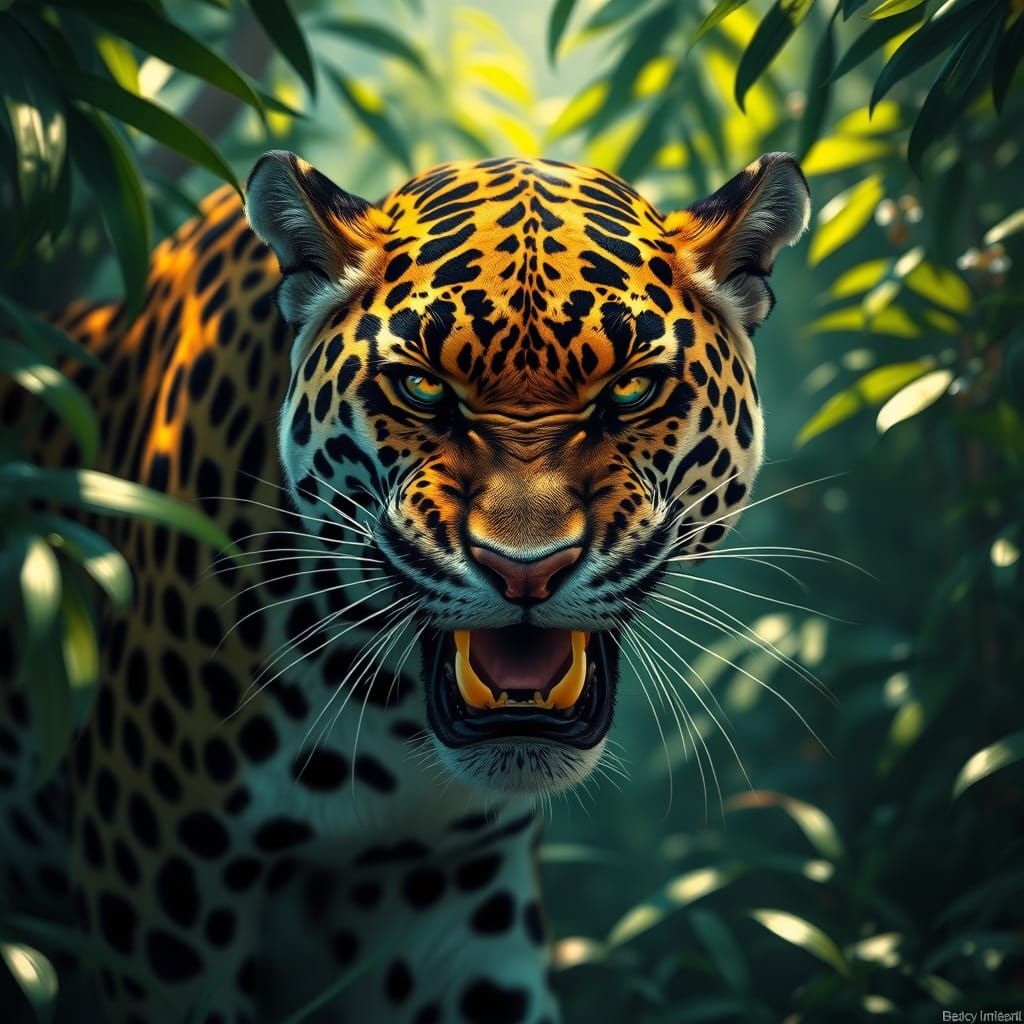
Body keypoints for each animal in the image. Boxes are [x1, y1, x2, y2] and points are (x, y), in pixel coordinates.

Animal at [0, 150, 809, 1023]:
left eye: (630, 390)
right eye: (423, 389)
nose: (526, 569)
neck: (384, 726)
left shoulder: (456, 901)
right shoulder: (160, 901)